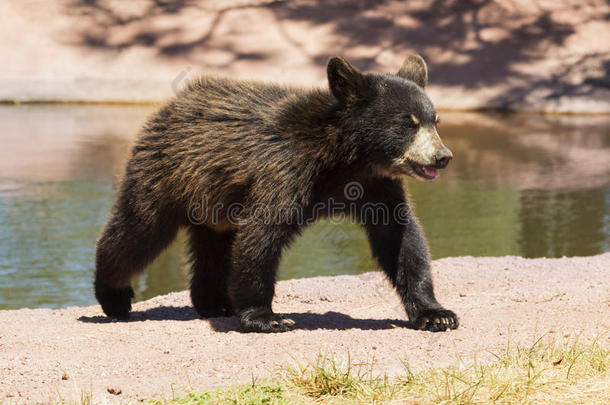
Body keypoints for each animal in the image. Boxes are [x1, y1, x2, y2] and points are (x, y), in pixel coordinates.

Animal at [94, 54, 456, 332]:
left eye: (434, 120)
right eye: (407, 123)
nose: (442, 156)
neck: (347, 159)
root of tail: (172, 104)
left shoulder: (376, 186)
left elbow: (399, 237)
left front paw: (436, 314)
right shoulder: (286, 171)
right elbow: (263, 234)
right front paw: (267, 318)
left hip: (213, 202)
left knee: (213, 245)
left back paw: (213, 302)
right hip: (165, 174)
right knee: (138, 231)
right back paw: (114, 297)